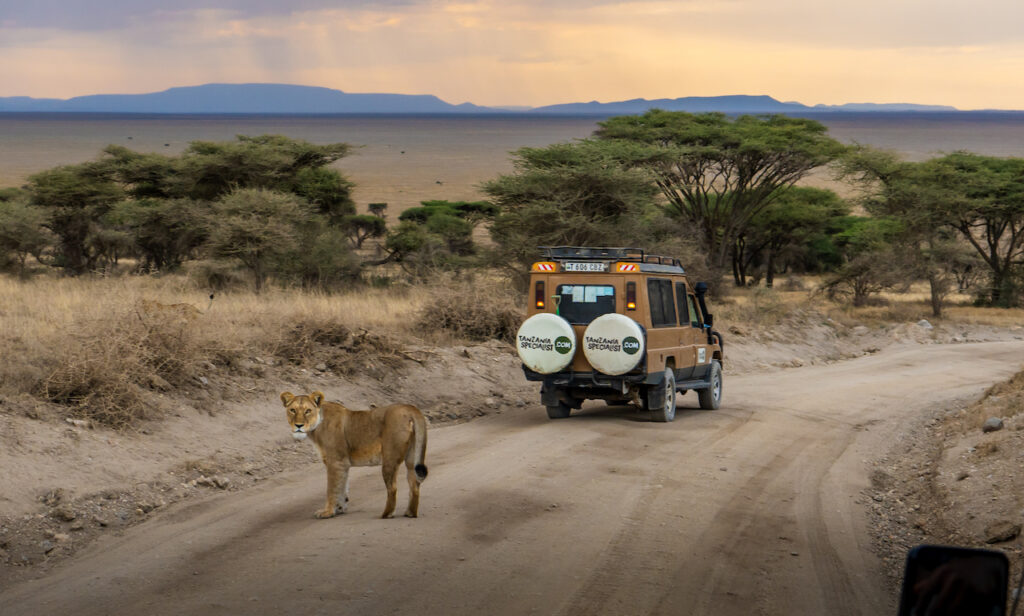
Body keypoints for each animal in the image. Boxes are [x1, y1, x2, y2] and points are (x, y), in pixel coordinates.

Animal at [280, 391, 428, 519]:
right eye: (292, 410)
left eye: (308, 411)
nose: (298, 425)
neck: (316, 426)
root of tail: (410, 408)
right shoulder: (343, 464)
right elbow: (342, 486)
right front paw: (340, 508)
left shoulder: (336, 462)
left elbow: (332, 489)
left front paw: (328, 512)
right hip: (411, 457)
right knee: (414, 484)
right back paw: (410, 513)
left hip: (389, 459)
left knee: (393, 488)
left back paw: (386, 514)